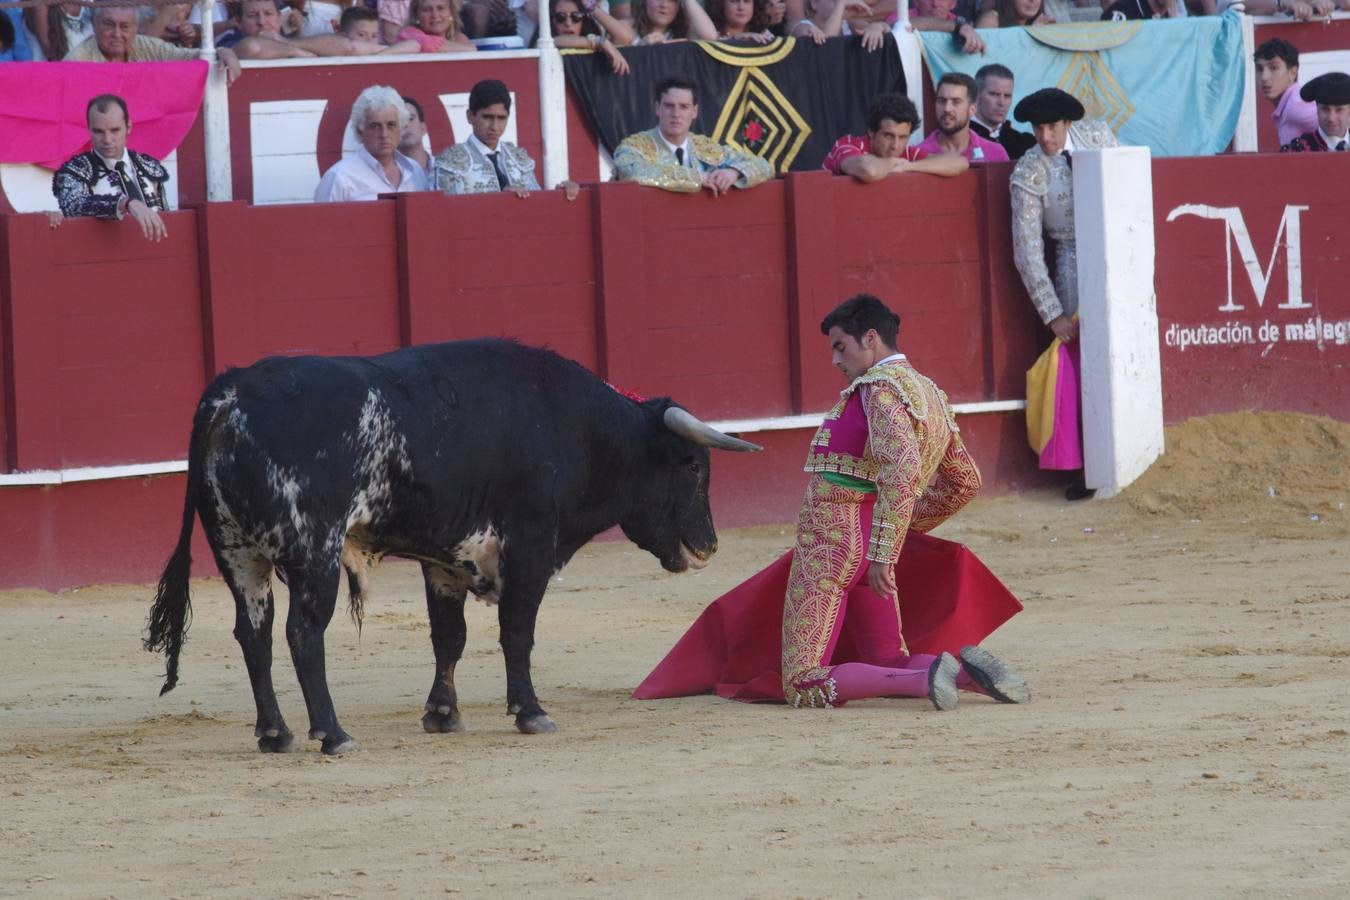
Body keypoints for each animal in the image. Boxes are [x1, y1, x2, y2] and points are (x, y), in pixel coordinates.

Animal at [149, 337, 766, 755]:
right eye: (692, 466)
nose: (709, 546)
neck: (570, 424)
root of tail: (232, 392)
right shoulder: (530, 545)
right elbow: (517, 632)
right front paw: (531, 712)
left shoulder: (445, 558)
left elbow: (450, 637)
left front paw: (443, 714)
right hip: (313, 551)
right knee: (303, 632)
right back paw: (333, 733)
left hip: (238, 554)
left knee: (252, 634)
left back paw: (276, 734)